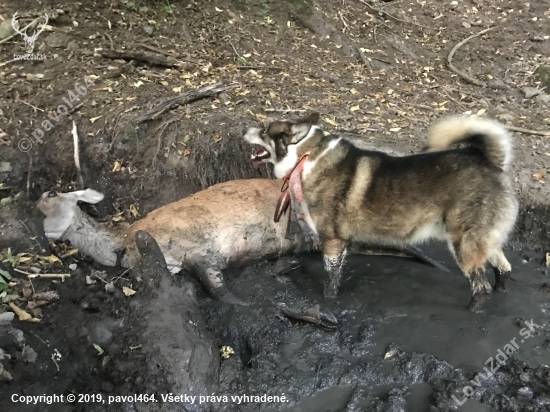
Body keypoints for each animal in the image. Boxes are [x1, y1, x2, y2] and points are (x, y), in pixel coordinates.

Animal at [244, 114, 520, 310]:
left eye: (265, 130)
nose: (245, 130)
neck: (308, 156)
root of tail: (489, 160)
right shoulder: (343, 244)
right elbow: (338, 273)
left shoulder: (332, 241)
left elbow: (329, 279)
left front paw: (328, 302)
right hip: (486, 241)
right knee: (504, 268)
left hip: (464, 244)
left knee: (481, 287)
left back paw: (473, 310)